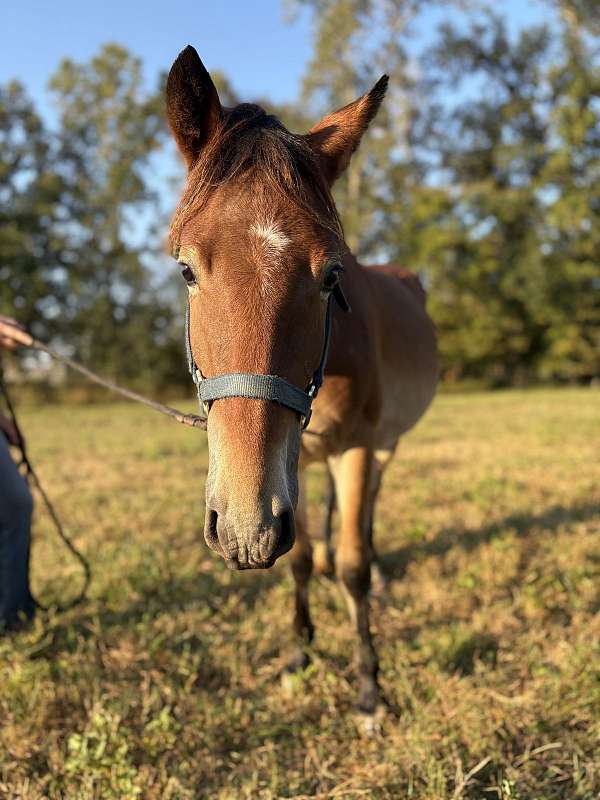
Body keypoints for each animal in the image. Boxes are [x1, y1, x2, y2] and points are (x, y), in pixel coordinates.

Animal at [166, 46, 438, 724]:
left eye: (331, 274)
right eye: (186, 269)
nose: (241, 530)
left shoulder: (354, 449)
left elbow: (352, 564)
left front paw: (369, 687)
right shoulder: (292, 469)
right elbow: (305, 560)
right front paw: (299, 651)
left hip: (384, 445)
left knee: (367, 518)